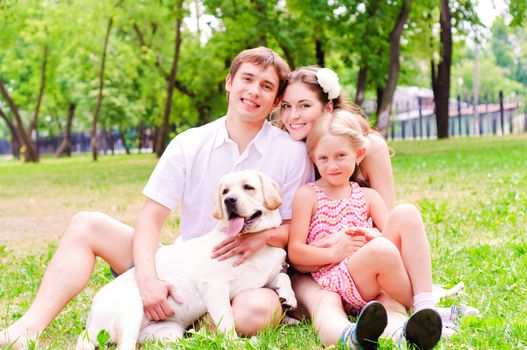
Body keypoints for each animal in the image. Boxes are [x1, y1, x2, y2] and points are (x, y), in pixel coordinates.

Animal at [76, 170, 296, 350]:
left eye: (248, 187)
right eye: (225, 191)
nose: (229, 200)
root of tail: (90, 325)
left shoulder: (262, 278)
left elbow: (283, 277)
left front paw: (289, 298)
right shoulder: (213, 286)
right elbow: (227, 320)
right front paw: (234, 343)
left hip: (169, 333)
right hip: (131, 308)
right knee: (125, 345)